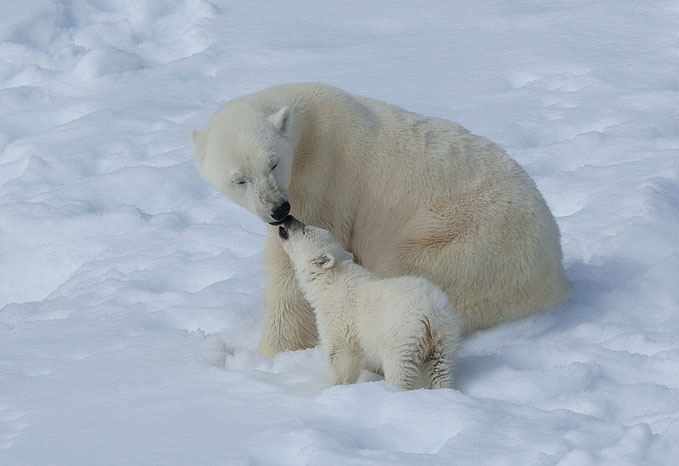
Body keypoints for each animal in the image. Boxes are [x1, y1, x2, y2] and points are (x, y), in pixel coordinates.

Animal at [191, 83, 568, 356]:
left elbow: (296, 264)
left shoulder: (324, 178)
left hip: (467, 243)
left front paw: (269, 353)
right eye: (239, 179)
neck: (308, 125)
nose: (279, 210)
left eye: (273, 163)